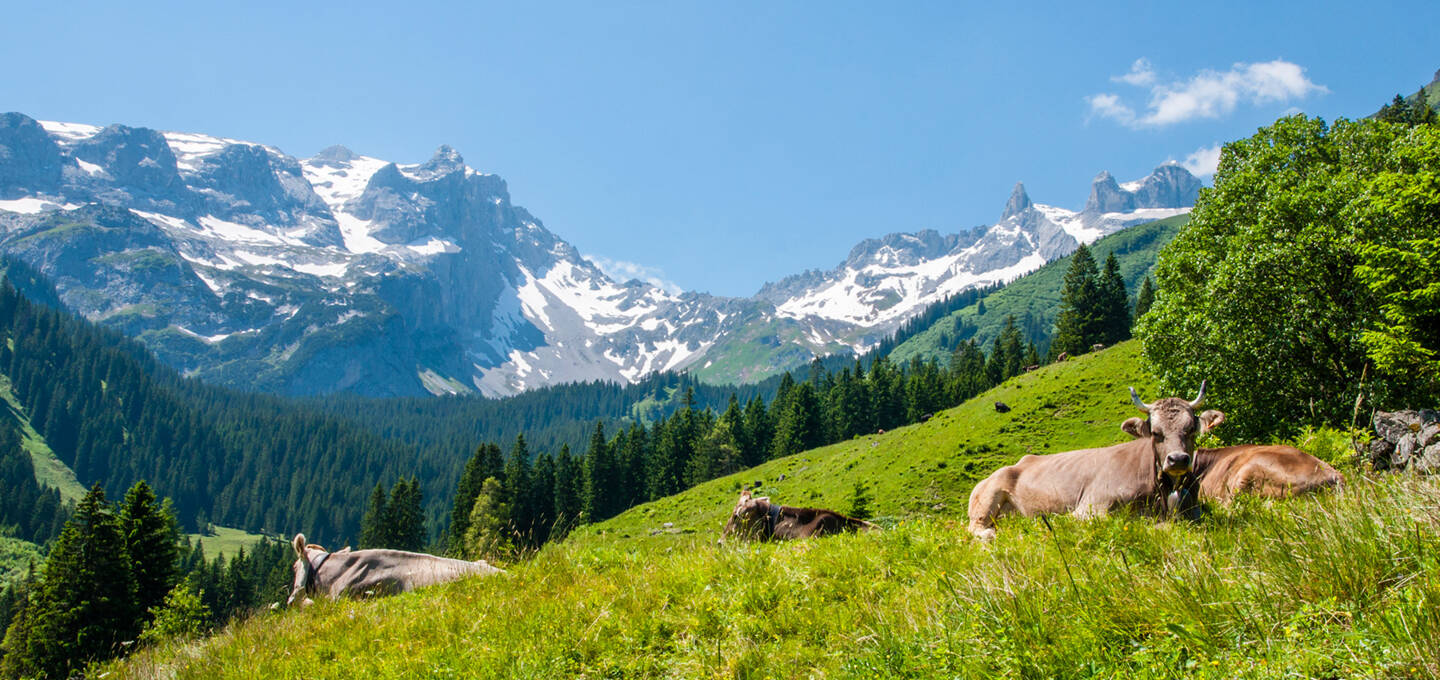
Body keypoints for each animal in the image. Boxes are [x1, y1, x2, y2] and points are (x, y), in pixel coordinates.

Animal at [961, 386, 1221, 538]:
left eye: (1190, 430)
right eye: (1156, 433)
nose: (1178, 459)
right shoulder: (1089, 508)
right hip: (988, 499)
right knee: (979, 529)